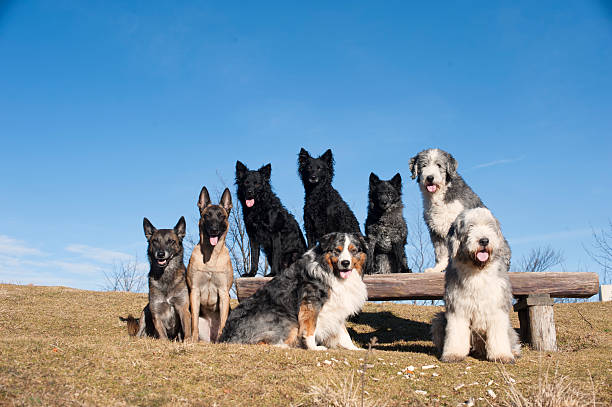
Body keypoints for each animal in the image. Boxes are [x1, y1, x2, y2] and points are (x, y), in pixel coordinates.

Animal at [185, 186, 233, 342]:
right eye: (207, 215)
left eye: (221, 216)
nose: (214, 229)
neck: (211, 257)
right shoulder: (194, 291)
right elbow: (194, 322)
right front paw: (192, 340)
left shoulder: (223, 293)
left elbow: (223, 322)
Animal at [218, 233, 366, 350]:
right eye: (337, 250)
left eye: (353, 250)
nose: (345, 263)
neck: (330, 271)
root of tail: (226, 335)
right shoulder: (311, 303)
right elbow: (310, 328)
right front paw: (313, 348)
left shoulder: (337, 307)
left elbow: (344, 332)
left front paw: (354, 348)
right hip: (286, 320)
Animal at [430, 209, 520, 364]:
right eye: (470, 226)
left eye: (489, 226)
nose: (484, 240)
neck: (478, 271)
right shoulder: (457, 307)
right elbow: (456, 332)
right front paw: (453, 354)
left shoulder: (498, 306)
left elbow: (498, 335)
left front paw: (502, 356)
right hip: (439, 320)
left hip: (509, 329)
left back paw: (513, 351)